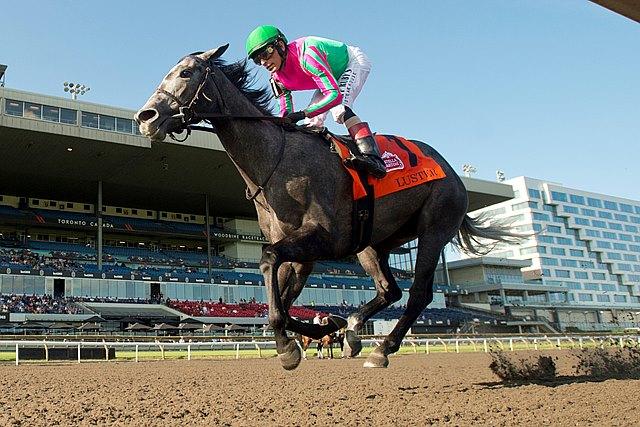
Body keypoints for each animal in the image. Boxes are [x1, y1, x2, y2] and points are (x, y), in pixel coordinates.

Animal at [135, 44, 515, 370]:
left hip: (435, 227)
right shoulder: (301, 252)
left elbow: (269, 263)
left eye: (185, 73)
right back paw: (354, 329)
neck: (278, 161)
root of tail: (451, 171)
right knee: (389, 289)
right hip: (372, 244)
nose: (145, 117)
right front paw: (320, 328)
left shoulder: (322, 238)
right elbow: (282, 299)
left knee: (418, 293)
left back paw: (382, 348)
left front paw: (290, 345)